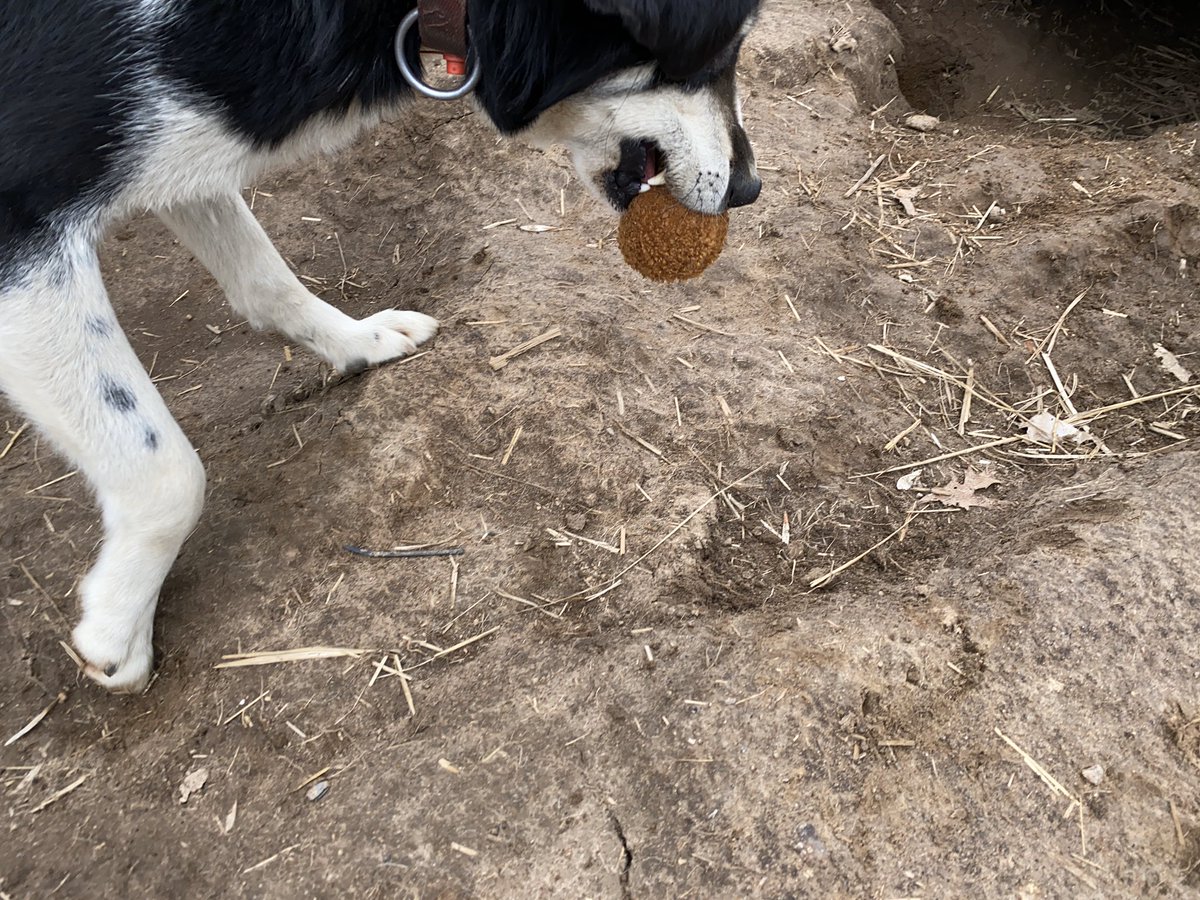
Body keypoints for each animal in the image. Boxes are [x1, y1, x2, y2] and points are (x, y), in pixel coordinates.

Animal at [0, 0, 763, 696]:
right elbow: (165, 468)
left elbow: (262, 277)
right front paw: (117, 628)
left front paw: (356, 341)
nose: (751, 188)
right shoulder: (26, 232)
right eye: (722, 48)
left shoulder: (180, 148)